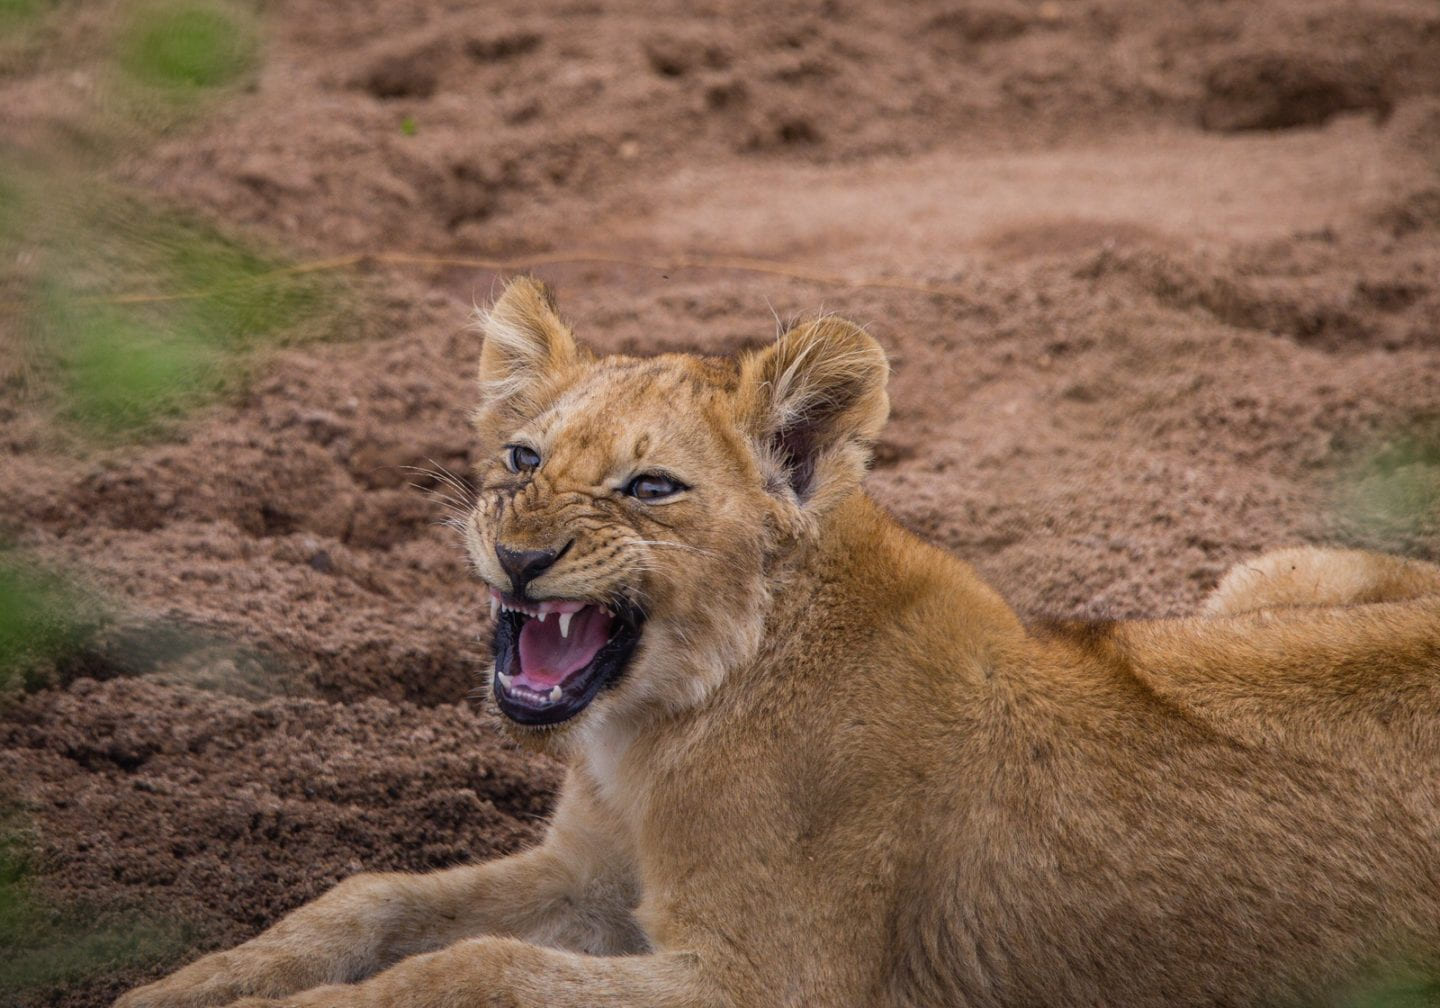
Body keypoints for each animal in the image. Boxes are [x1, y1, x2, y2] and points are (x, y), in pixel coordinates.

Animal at [118, 277, 1440, 1008]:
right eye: (522, 458)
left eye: (651, 488)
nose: (520, 552)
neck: (656, 728)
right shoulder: (591, 876)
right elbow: (369, 896)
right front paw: (184, 987)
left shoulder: (771, 980)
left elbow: (470, 970)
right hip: (1271, 569)